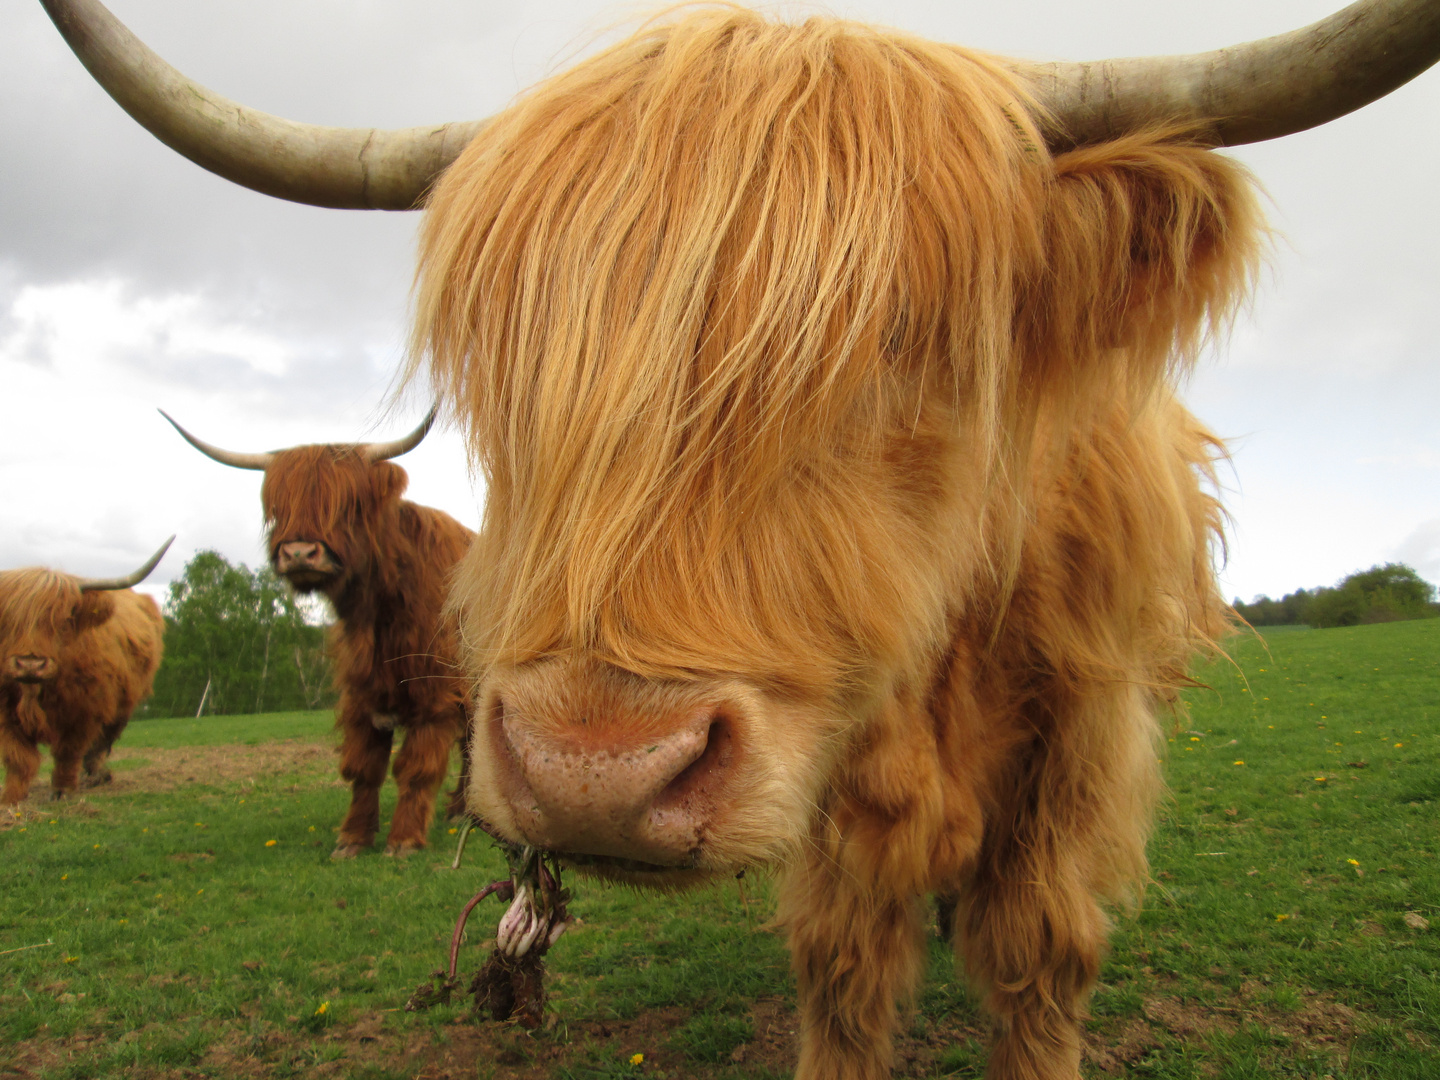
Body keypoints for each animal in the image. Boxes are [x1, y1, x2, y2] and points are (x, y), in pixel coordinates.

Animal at [0, 538, 169, 806]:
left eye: (63, 618)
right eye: (7, 619)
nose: (30, 665)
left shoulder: (83, 710)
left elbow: (69, 751)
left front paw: (62, 790)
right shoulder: (5, 712)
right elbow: (17, 757)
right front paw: (11, 798)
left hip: (124, 703)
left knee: (103, 742)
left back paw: (96, 775)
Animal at [159, 408, 472, 858]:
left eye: (348, 505)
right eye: (278, 508)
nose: (299, 554)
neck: (379, 614)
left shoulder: (435, 693)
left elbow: (415, 767)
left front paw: (403, 840)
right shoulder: (360, 695)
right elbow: (363, 767)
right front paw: (352, 838)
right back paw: (459, 809)